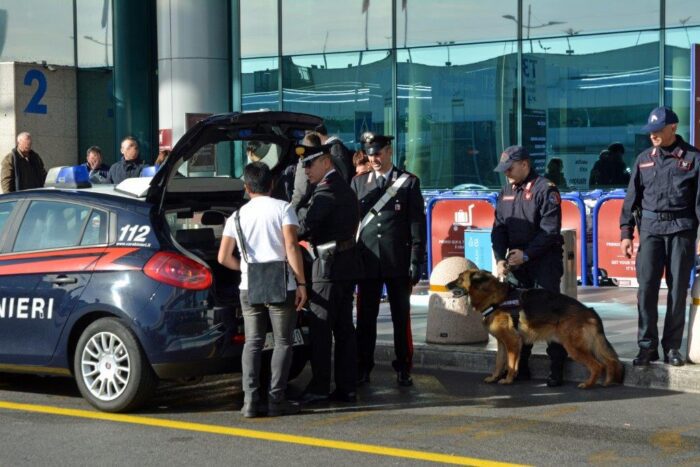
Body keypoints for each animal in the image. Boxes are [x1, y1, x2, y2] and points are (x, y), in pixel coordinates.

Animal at [446, 268, 620, 390]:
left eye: (460, 278)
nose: (446, 285)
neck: (494, 299)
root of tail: (589, 310)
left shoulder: (512, 342)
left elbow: (510, 362)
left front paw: (508, 379)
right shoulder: (502, 343)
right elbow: (499, 362)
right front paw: (494, 377)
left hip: (573, 347)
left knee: (598, 365)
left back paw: (588, 384)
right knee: (609, 361)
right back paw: (608, 382)